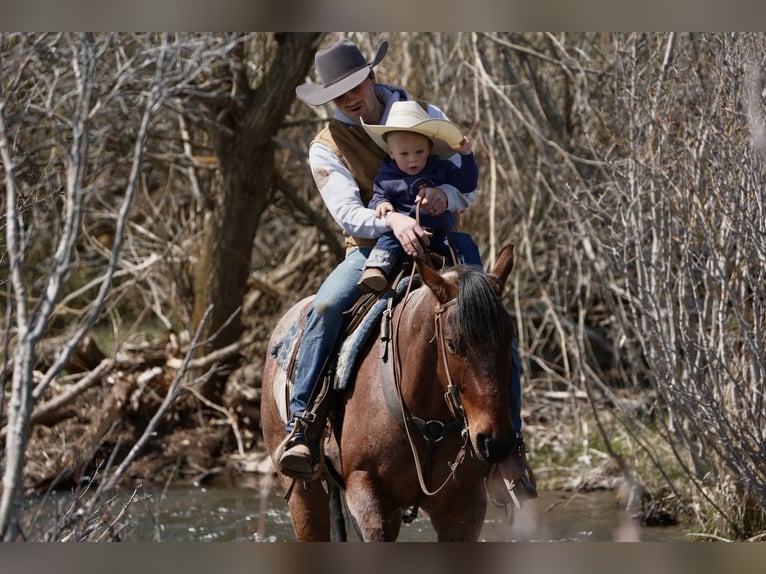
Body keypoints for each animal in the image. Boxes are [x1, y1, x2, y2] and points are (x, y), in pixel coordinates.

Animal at [260, 244, 518, 541]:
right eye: (452, 343)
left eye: (510, 337)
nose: (495, 442)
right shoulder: (367, 496)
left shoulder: (465, 506)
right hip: (302, 493)